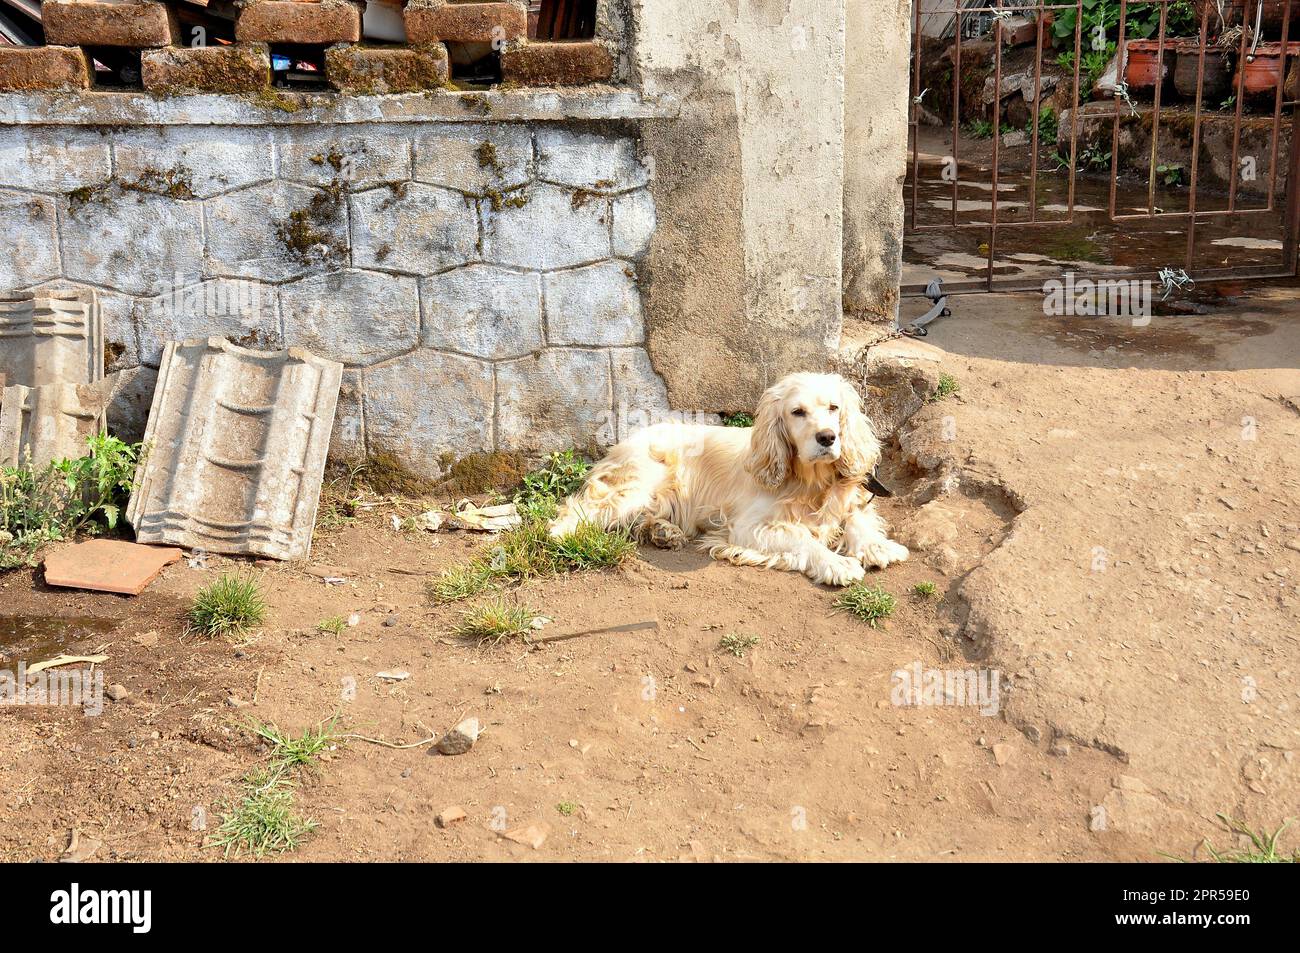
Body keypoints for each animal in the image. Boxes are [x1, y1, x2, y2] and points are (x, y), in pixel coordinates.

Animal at [553, 369, 909, 579]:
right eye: (797, 412)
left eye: (834, 408)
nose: (827, 438)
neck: (810, 481)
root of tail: (624, 440)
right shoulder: (748, 527)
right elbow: (803, 539)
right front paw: (836, 563)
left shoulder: (849, 500)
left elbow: (856, 517)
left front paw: (876, 546)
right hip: (638, 485)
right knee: (579, 510)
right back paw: (561, 535)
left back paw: (663, 532)